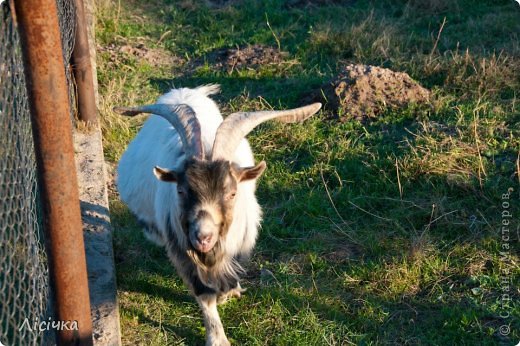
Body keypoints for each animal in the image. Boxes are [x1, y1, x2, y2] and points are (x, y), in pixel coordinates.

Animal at [116, 84, 320, 346]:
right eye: (181, 190)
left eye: (232, 193)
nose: (203, 237)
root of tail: (183, 92)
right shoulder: (181, 249)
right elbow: (203, 293)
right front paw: (217, 337)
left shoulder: (238, 245)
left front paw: (229, 293)